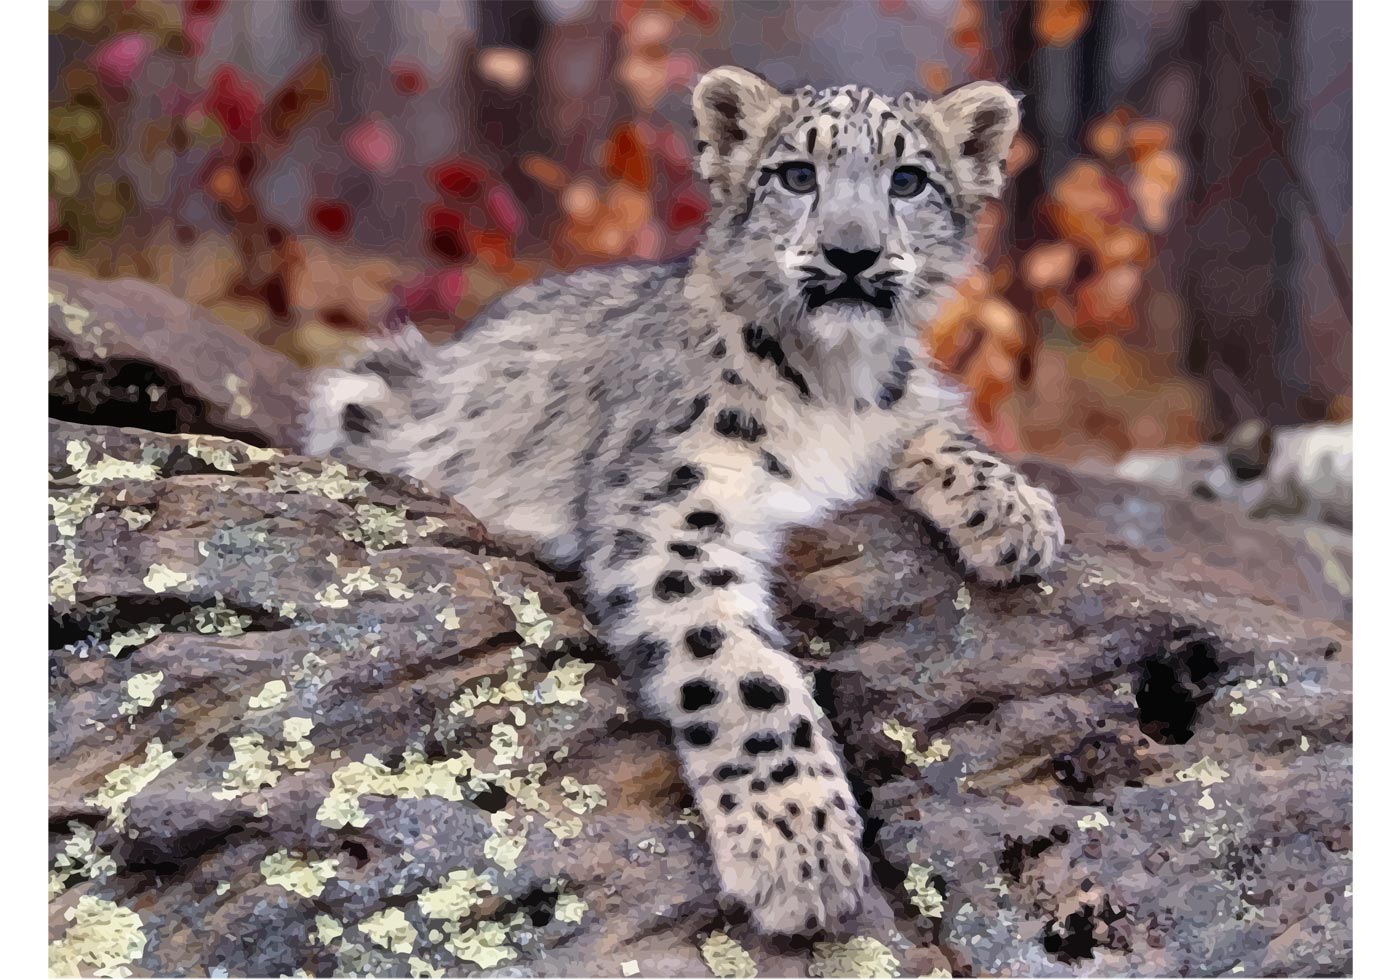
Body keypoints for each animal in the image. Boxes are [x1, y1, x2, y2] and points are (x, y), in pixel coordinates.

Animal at [302, 66, 1064, 936]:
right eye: (795, 175)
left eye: (908, 180)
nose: (853, 252)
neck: (834, 385)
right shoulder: (672, 510)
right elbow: (741, 675)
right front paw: (800, 851)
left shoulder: (901, 406)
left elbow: (935, 423)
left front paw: (1016, 514)